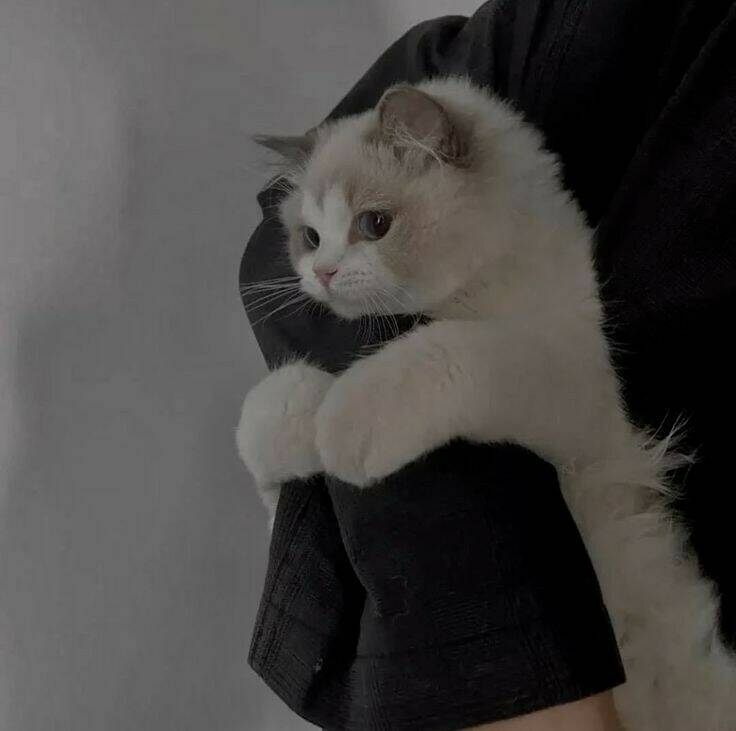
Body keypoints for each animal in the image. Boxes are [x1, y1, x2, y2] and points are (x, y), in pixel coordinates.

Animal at [236, 77, 736, 730]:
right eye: (310, 238)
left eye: (374, 224)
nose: (321, 273)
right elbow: (267, 418)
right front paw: (308, 420)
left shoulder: (560, 386)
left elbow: (441, 355)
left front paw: (338, 428)